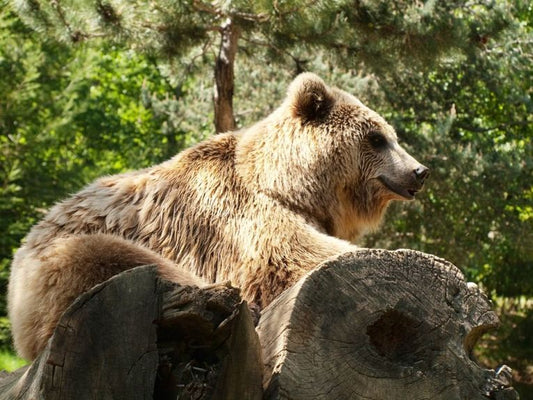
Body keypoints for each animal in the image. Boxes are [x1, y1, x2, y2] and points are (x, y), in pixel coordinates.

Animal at [8, 73, 428, 360]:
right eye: (377, 138)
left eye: (391, 136)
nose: (419, 171)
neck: (290, 186)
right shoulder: (234, 217)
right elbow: (292, 256)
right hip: (64, 262)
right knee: (116, 259)